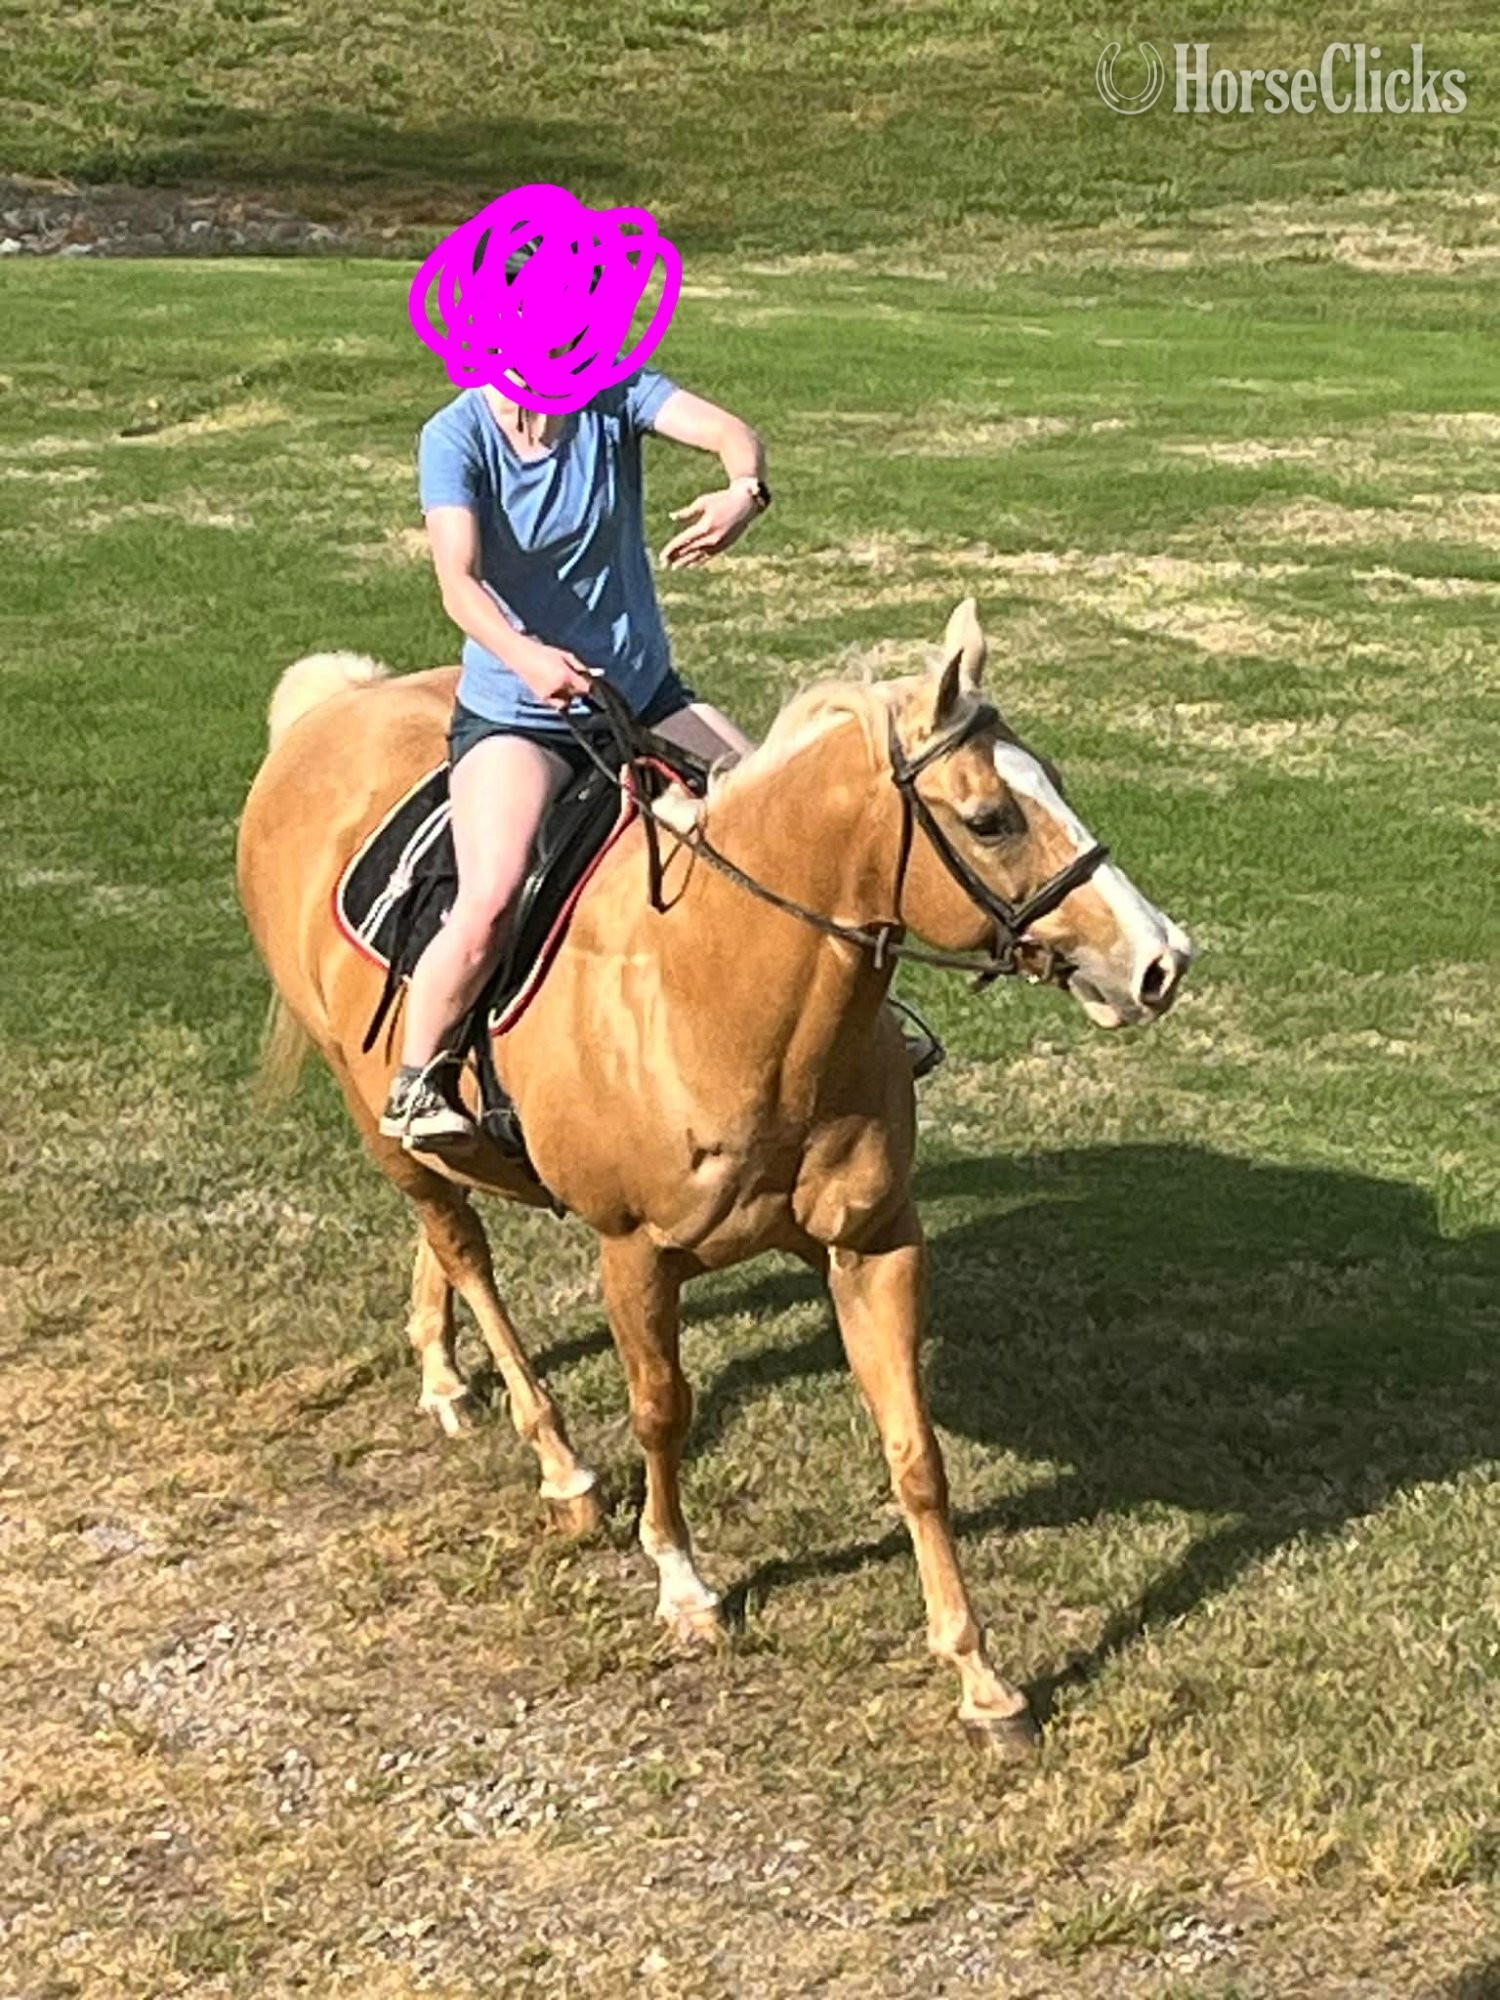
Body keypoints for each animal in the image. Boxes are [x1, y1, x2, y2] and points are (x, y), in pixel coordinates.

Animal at [236, 598, 1193, 1750]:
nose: (1161, 960)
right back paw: (559, 1463)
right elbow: (663, 1410)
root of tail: (330, 709)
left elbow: (915, 1453)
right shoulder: (633, 1253)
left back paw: (442, 1372)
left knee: (442, 1231)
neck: (718, 985)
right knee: (461, 1245)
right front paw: (685, 1587)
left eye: (1048, 776)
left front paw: (982, 1678)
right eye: (992, 818)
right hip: (371, 1106)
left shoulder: (873, 1244)